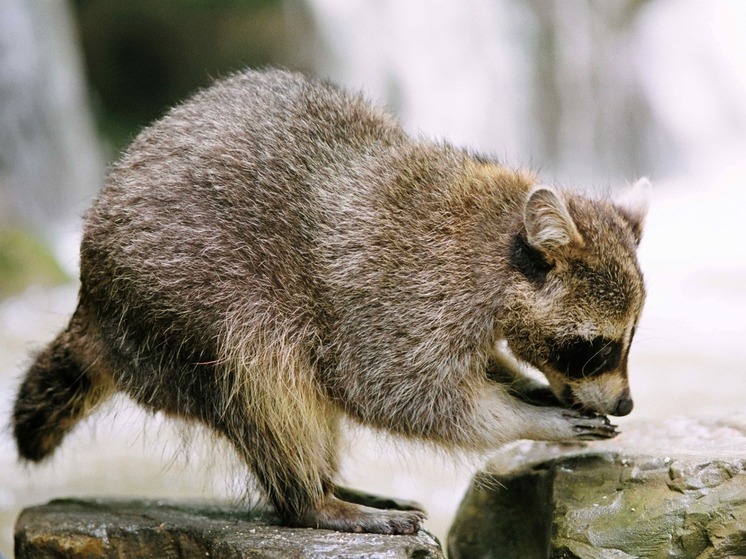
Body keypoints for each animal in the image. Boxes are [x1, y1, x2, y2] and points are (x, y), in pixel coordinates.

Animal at [10, 69, 644, 532]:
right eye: (595, 347)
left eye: (630, 339)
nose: (627, 403)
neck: (496, 237)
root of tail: (90, 300)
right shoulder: (399, 289)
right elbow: (400, 394)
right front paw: (529, 416)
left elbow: (473, 367)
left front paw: (527, 385)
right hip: (179, 300)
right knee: (267, 378)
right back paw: (311, 499)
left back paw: (330, 482)